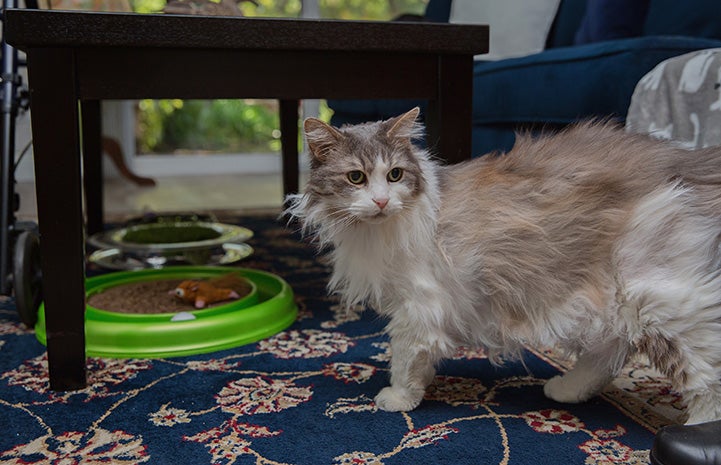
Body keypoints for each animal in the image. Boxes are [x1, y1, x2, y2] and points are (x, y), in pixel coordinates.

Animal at [284, 108, 720, 424]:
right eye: (356, 178)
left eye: (394, 175)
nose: (380, 201)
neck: (376, 230)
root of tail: (692, 159)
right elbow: (422, 358)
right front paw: (422, 385)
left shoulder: (418, 306)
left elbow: (404, 357)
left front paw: (400, 397)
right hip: (613, 294)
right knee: (611, 351)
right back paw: (567, 389)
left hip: (658, 297)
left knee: (704, 375)